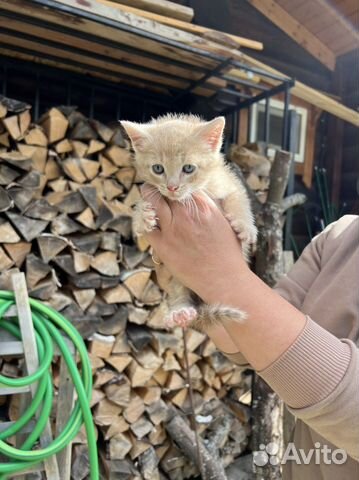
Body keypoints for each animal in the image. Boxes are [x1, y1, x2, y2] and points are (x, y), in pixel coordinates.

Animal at [122, 113, 258, 330]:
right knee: (180, 291)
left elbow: (238, 200)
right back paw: (181, 312)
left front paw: (246, 227)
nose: (172, 187)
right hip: (177, 278)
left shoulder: (230, 184)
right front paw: (143, 216)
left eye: (188, 168)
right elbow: (139, 212)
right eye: (158, 168)